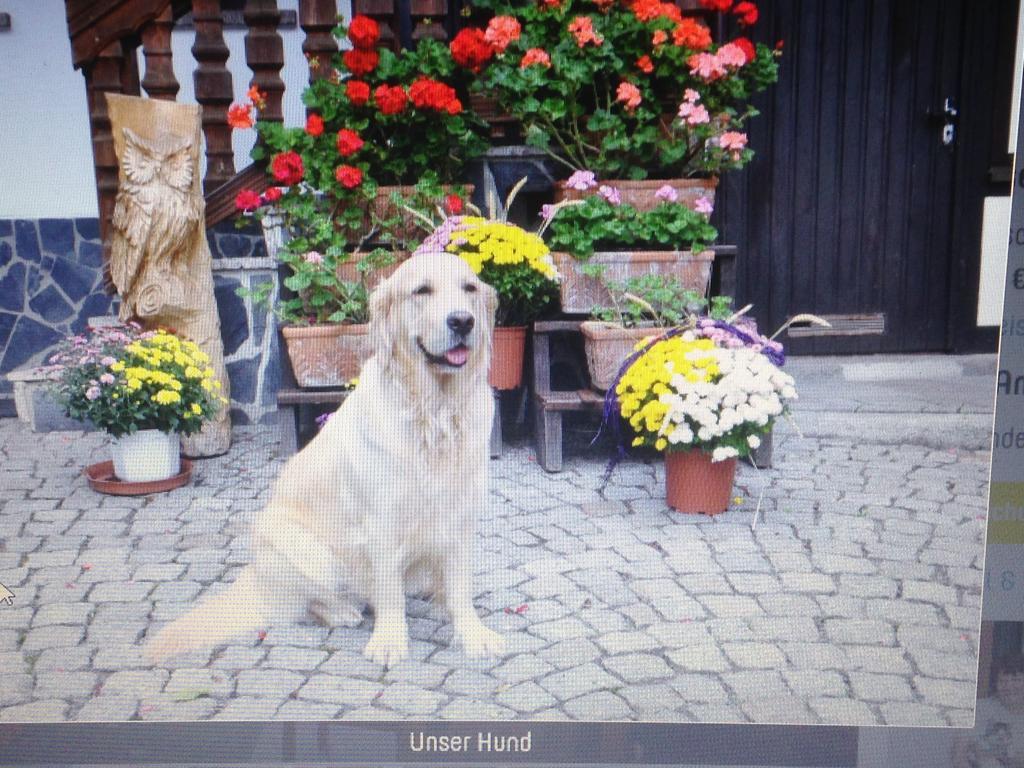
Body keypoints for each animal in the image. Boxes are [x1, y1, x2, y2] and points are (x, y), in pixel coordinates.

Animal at [145, 252, 507, 667]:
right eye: (422, 291)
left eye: (470, 288)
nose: (463, 321)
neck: (436, 414)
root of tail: (255, 578)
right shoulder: (380, 521)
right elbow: (388, 590)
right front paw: (390, 641)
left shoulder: (461, 514)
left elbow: (460, 587)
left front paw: (472, 633)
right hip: (295, 543)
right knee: (308, 603)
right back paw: (341, 611)